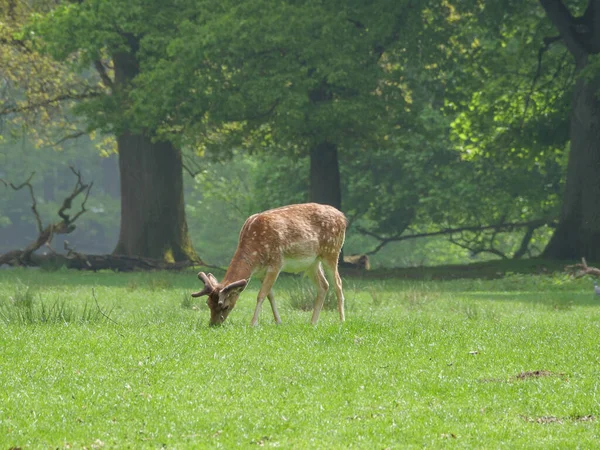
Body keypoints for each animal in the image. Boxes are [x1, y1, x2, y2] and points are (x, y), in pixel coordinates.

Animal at [192, 202, 346, 326]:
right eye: (208, 303)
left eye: (225, 306)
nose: (213, 324)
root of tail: (343, 217)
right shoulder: (261, 272)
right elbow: (270, 295)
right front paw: (278, 321)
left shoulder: (276, 263)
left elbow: (261, 294)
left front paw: (253, 323)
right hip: (313, 263)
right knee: (324, 285)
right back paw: (313, 322)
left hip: (332, 252)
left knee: (338, 283)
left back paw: (341, 320)